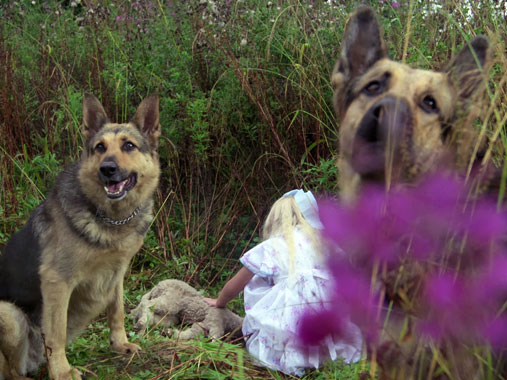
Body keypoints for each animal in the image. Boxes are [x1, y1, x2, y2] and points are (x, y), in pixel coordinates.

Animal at [0, 95, 161, 380]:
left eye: (129, 145)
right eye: (99, 147)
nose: (107, 169)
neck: (110, 218)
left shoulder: (117, 273)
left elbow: (117, 311)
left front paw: (120, 344)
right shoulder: (57, 281)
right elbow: (56, 333)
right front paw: (62, 371)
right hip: (7, 313)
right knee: (9, 370)